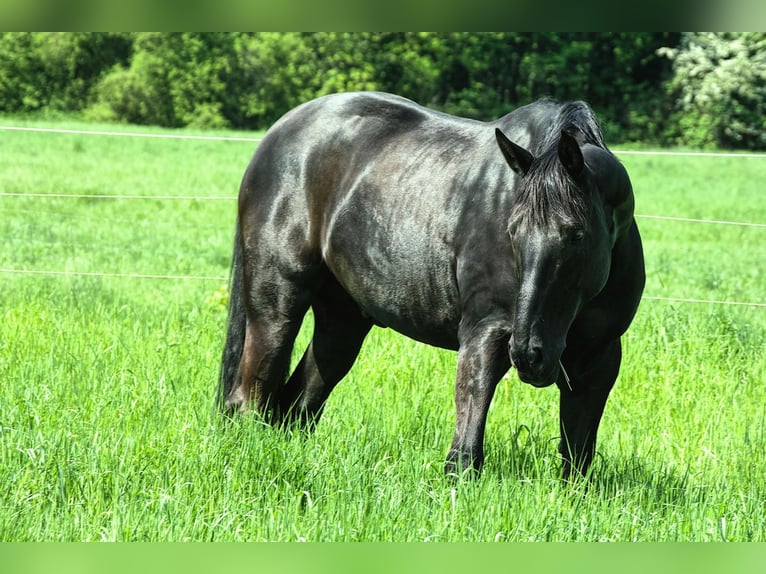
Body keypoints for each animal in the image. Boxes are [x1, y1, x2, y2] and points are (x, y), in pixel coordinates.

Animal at [217, 91, 645, 479]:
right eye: (512, 230)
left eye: (575, 234)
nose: (529, 355)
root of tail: (278, 134)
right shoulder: (486, 333)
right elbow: (465, 450)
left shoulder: (600, 357)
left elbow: (577, 459)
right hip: (275, 305)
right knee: (250, 397)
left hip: (342, 323)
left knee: (298, 402)